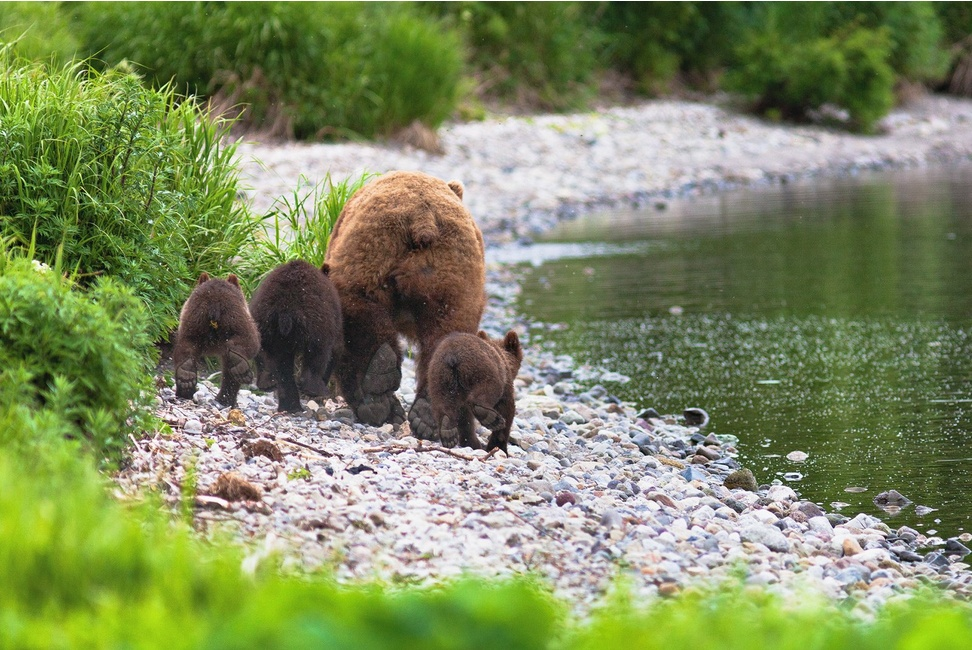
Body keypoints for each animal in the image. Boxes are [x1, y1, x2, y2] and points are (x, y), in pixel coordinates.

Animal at [326, 170, 486, 428]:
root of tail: (423, 217)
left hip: (370, 250)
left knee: (358, 308)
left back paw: (375, 396)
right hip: (454, 273)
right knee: (448, 330)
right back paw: (427, 412)